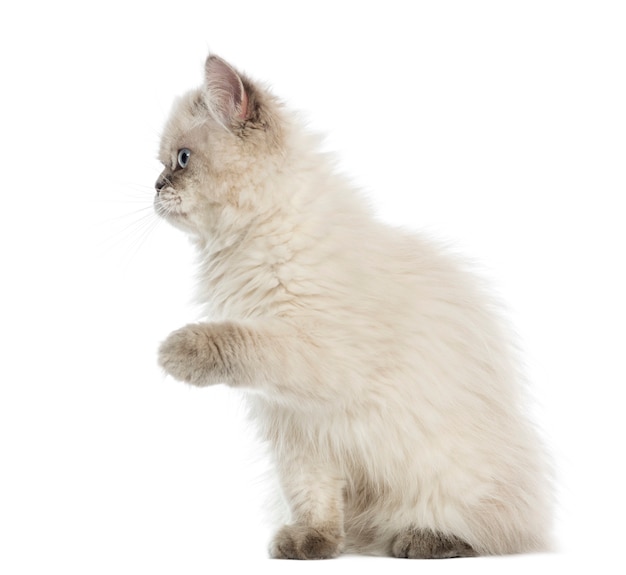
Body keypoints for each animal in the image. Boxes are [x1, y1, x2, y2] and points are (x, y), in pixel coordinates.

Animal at [154, 53, 548, 560]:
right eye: (162, 163)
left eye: (182, 159)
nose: (155, 186)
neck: (246, 245)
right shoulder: (296, 429)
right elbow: (311, 497)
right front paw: (312, 545)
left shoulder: (319, 357)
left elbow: (242, 341)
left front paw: (177, 351)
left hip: (447, 476)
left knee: (485, 530)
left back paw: (422, 540)